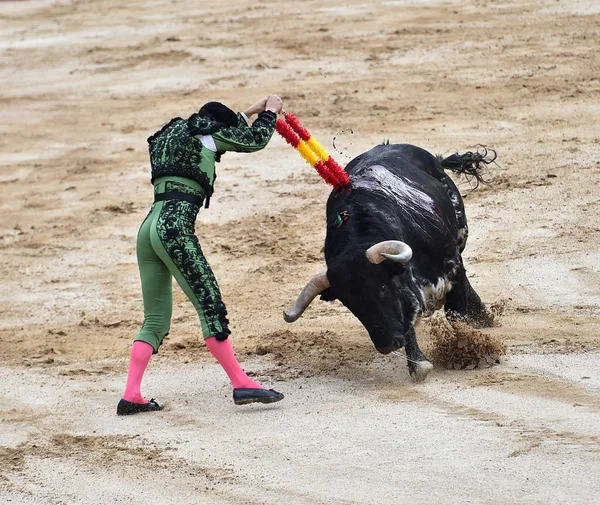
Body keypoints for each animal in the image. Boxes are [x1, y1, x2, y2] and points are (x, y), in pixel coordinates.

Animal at [284, 144, 494, 380]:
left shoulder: (452, 264)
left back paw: (483, 316)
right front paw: (418, 365)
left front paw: (473, 351)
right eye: (350, 305)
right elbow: (407, 321)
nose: (386, 345)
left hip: (460, 233)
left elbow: (455, 313)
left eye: (382, 290)